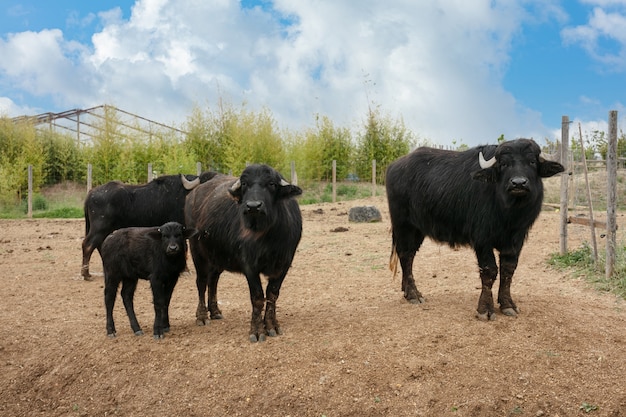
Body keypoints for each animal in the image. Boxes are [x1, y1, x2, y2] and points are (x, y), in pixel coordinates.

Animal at [82, 172, 217, 280]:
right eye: (208, 184)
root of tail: (91, 193)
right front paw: (185, 270)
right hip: (99, 228)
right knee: (88, 245)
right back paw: (86, 274)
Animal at [183, 162, 302, 342]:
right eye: (245, 183)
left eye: (272, 184)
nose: (253, 206)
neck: (268, 236)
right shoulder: (249, 265)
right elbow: (258, 297)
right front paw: (257, 331)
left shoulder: (284, 264)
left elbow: (272, 295)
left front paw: (272, 325)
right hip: (197, 250)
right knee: (202, 282)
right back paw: (202, 316)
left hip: (217, 257)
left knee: (213, 280)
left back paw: (215, 311)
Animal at [382, 138, 564, 320]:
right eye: (504, 163)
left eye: (532, 161)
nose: (518, 183)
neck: (508, 213)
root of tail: (394, 166)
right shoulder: (482, 239)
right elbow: (489, 270)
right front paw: (485, 309)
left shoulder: (516, 239)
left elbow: (508, 270)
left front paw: (507, 304)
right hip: (403, 224)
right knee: (405, 255)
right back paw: (414, 294)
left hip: (418, 229)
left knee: (410, 255)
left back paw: (406, 290)